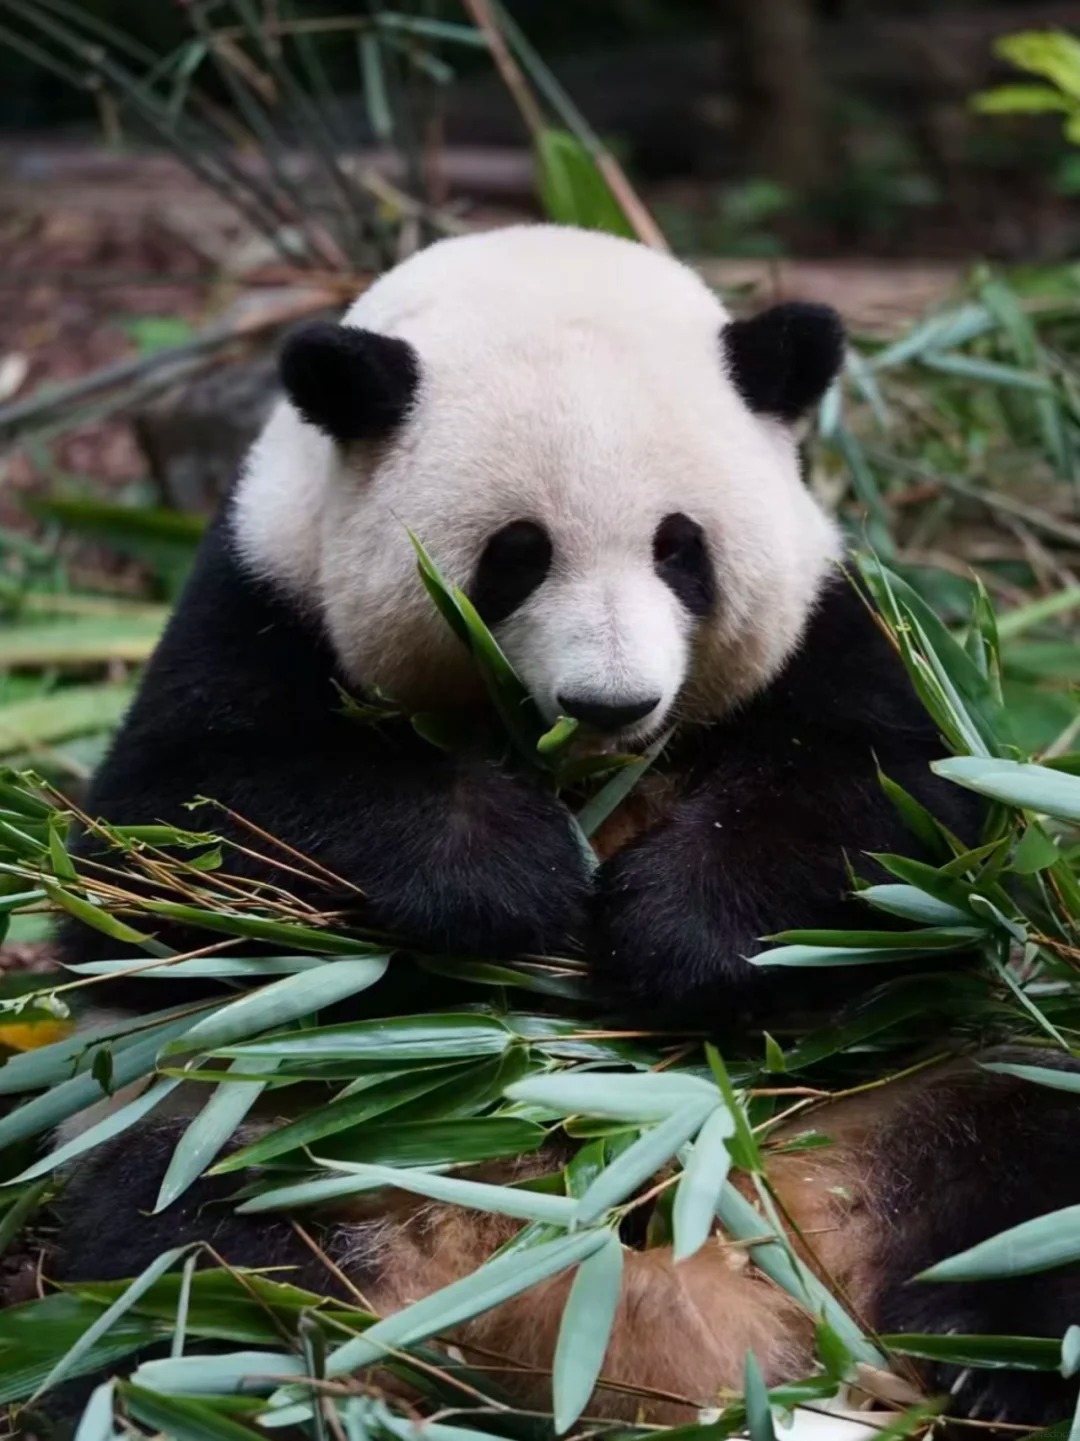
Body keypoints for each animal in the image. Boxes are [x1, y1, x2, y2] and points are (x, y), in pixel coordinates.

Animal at [40, 226, 1080, 1430]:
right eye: (516, 553)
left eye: (681, 548)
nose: (611, 702)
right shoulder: (257, 604)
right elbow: (171, 843)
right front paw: (514, 874)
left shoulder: (835, 625)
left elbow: (905, 814)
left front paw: (673, 930)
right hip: (255, 1116)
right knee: (182, 1252)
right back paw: (267, 1379)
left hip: (919, 1084)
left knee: (1021, 1165)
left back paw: (990, 1352)